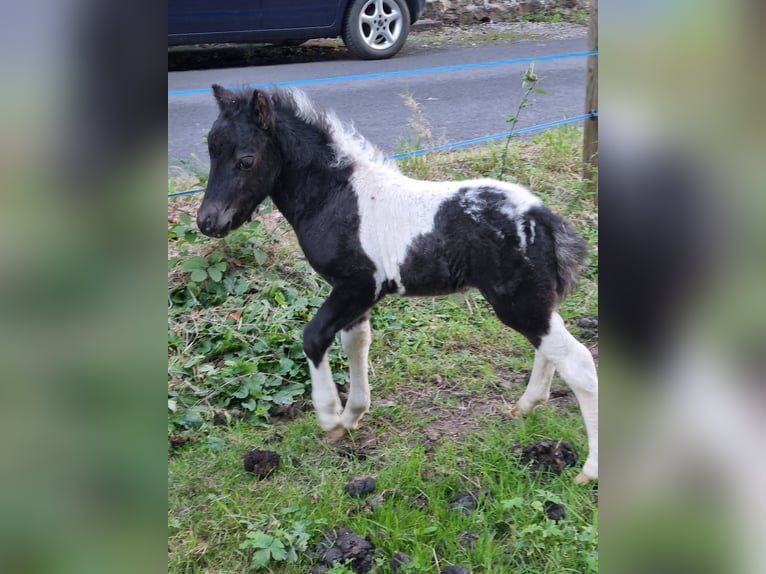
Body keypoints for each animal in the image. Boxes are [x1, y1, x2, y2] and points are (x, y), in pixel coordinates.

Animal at [196, 85, 600, 486]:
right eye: (212, 150)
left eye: (246, 160)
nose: (207, 221)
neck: (337, 196)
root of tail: (544, 218)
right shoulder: (357, 294)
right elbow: (356, 343)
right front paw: (353, 415)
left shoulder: (358, 286)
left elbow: (314, 337)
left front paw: (330, 418)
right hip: (533, 299)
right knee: (551, 350)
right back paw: (526, 406)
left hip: (518, 301)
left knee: (578, 362)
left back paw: (589, 471)